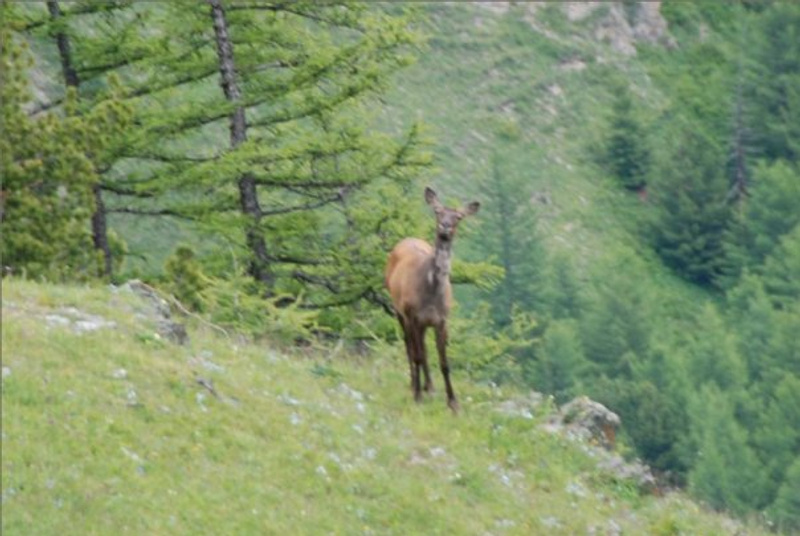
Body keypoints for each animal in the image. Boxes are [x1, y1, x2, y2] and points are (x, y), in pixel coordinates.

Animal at [384, 187, 480, 413]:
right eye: (437, 211)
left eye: (459, 216)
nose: (445, 226)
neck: (431, 292)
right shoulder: (412, 315)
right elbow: (417, 355)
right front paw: (417, 397)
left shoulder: (441, 320)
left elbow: (444, 363)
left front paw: (453, 402)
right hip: (398, 310)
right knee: (410, 347)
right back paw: (415, 385)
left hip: (423, 323)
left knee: (423, 350)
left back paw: (429, 386)